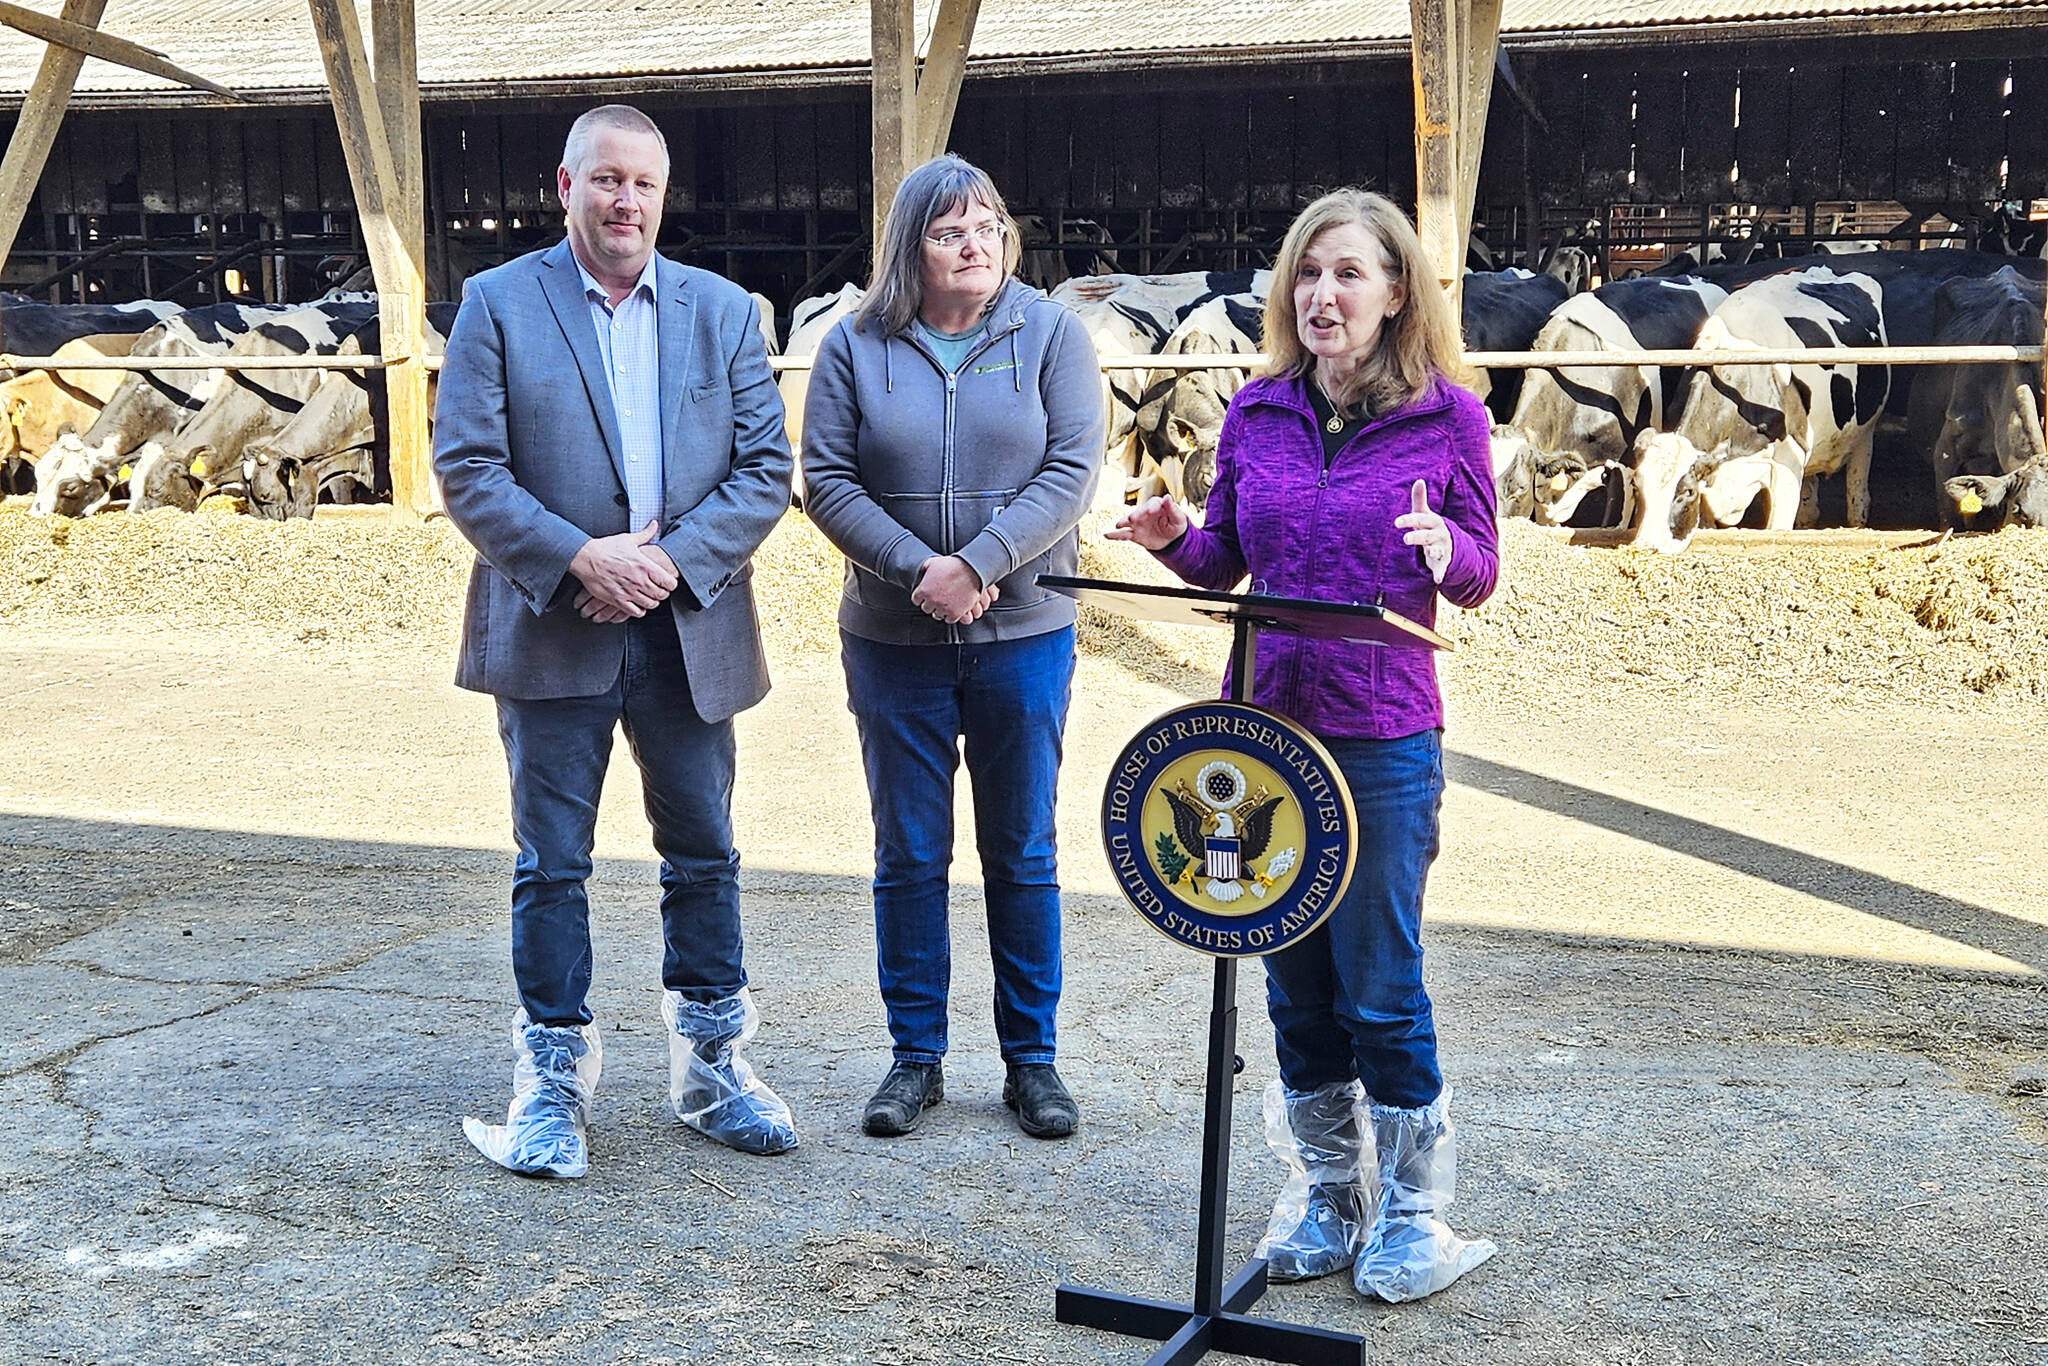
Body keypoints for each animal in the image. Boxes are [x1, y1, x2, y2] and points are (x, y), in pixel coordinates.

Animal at [1630, 266, 1884, 548]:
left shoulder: (1787, 462)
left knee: (1857, 491)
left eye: (1687, 491)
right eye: (1636, 487)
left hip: (1866, 433)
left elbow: (1777, 527)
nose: (1647, 544)